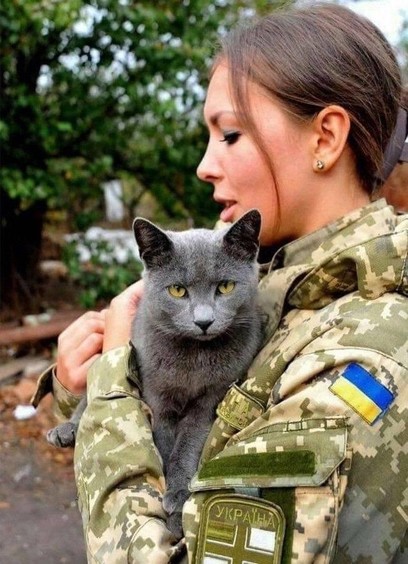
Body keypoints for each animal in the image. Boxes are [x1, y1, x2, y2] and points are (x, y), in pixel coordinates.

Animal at [47, 209, 264, 540]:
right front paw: (170, 505)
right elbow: (162, 443)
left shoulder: (211, 398)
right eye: (177, 290)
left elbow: (188, 443)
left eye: (225, 287)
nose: (204, 321)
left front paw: (177, 502)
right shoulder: (156, 396)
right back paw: (65, 430)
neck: (194, 358)